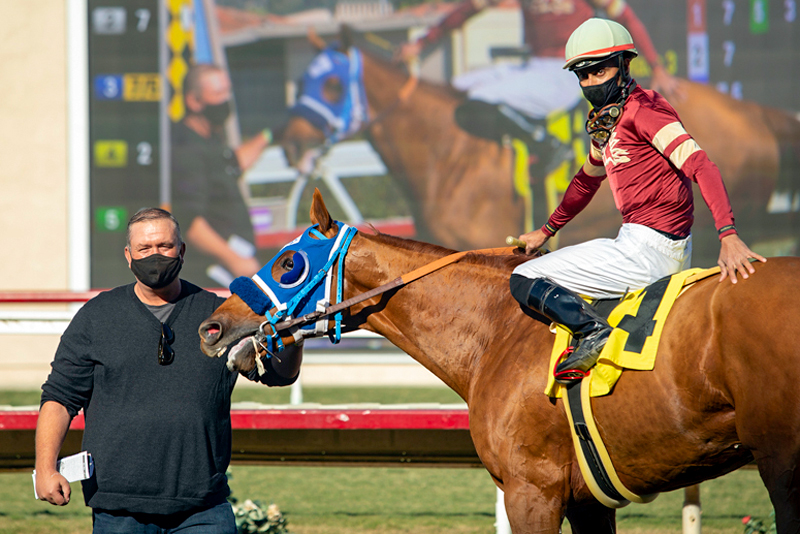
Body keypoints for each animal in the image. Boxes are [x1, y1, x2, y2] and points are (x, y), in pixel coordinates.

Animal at [198, 193, 800, 534]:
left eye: (288, 262)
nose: (212, 326)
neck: (498, 330)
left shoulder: (531, 489)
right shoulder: (587, 500)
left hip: (780, 459)